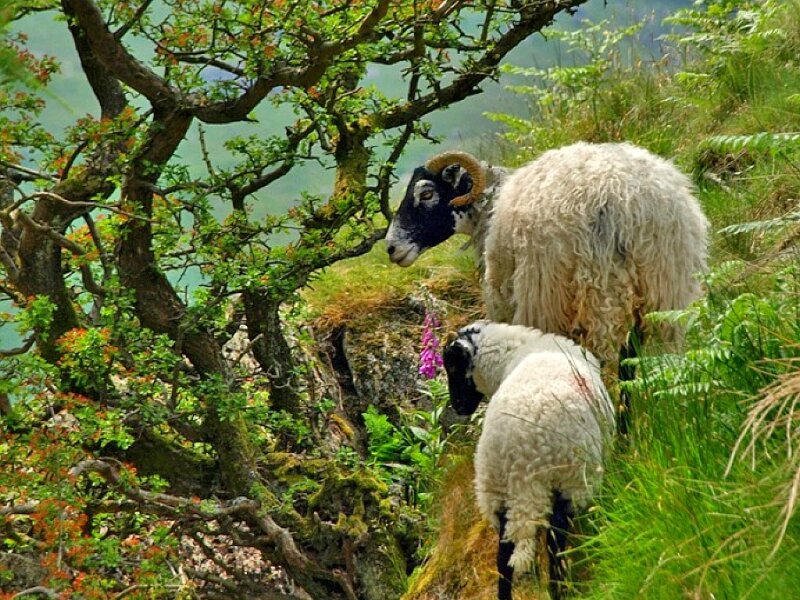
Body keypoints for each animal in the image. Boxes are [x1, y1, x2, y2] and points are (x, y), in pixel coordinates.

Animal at [386, 143, 709, 431]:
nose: (391, 248)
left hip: (580, 293)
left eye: (426, 193)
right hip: (665, 291)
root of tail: (625, 202)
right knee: (643, 361)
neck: (490, 206)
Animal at [443, 320, 614, 600]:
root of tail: (520, 457)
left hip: (496, 489)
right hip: (568, 477)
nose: (457, 406)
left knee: (504, 558)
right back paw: (559, 590)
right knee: (556, 544)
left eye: (453, 366)